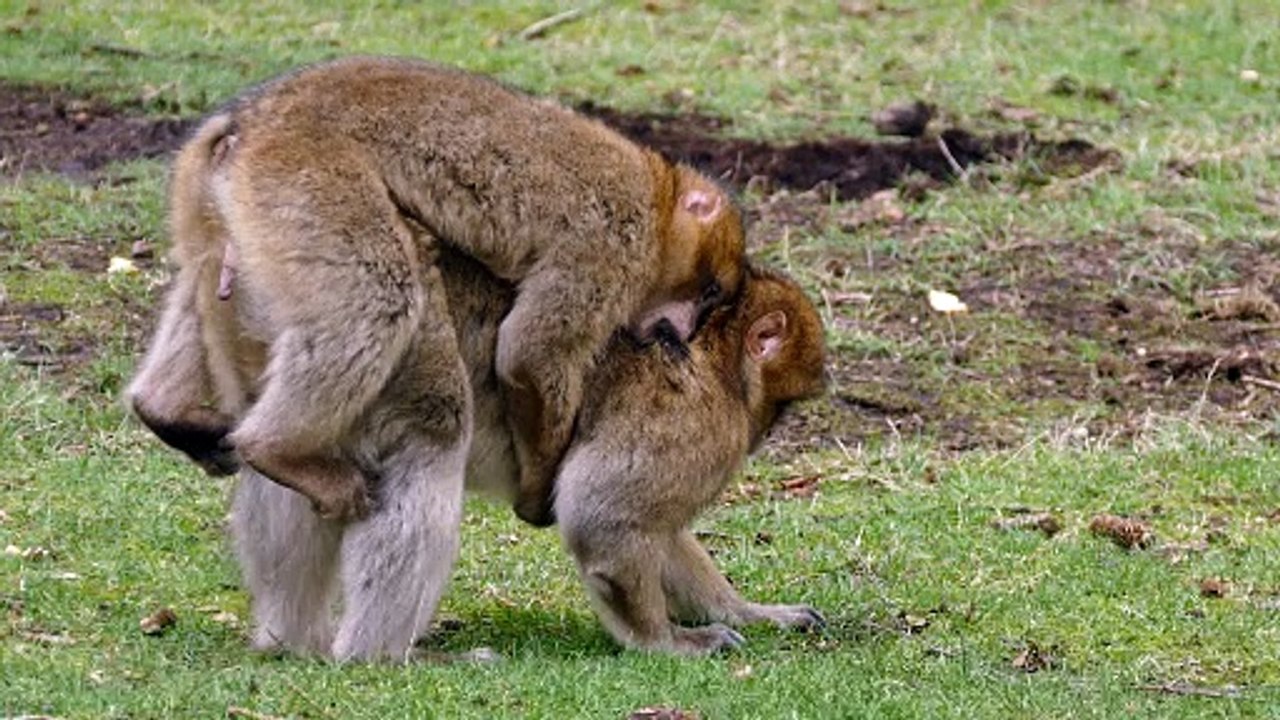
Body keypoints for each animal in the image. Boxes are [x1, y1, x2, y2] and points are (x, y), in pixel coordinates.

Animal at [126, 55, 746, 527]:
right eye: (709, 290)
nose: (681, 328)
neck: (657, 197)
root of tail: (246, 122)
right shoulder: (610, 249)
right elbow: (528, 352)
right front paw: (539, 486)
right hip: (301, 175)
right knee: (377, 295)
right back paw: (272, 450)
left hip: (217, 197)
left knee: (207, 274)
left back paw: (161, 406)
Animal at [225, 249, 827, 661]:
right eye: (785, 404)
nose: (762, 434)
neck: (712, 356)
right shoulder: (691, 425)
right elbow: (602, 515)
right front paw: (664, 642)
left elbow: (658, 531)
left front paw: (744, 612)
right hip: (396, 358)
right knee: (432, 445)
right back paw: (382, 655)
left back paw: (293, 639)